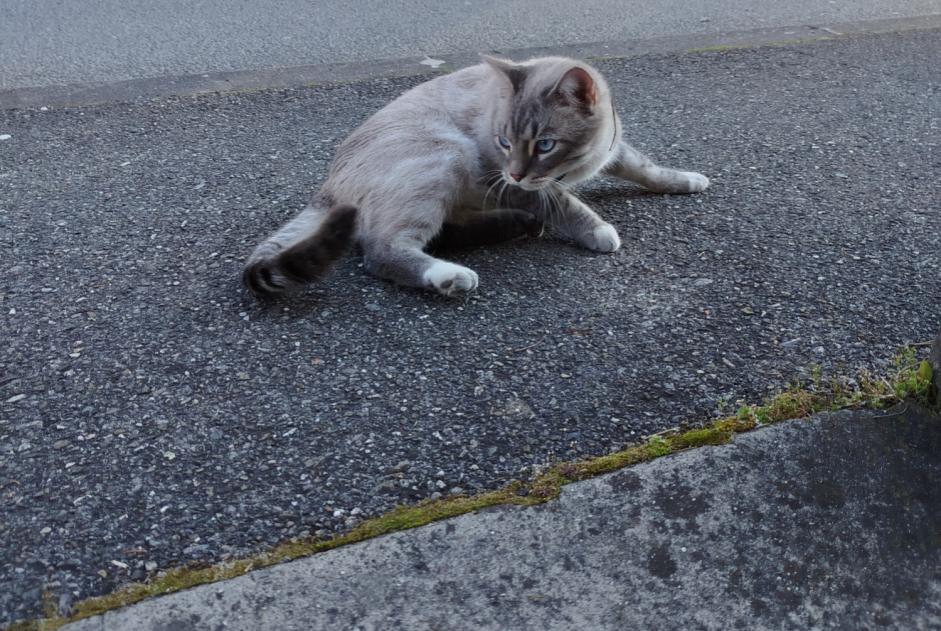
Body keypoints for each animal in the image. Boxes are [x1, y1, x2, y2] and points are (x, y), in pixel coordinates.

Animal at [242, 54, 704, 298]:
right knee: (380, 250)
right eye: (504, 142)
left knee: (447, 232)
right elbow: (565, 204)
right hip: (447, 155)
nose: (515, 172)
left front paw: (686, 180)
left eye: (544, 145)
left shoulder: (613, 150)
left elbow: (647, 168)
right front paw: (598, 230)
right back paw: (449, 275)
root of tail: (327, 185)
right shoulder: (508, 181)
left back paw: (515, 226)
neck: (577, 164)